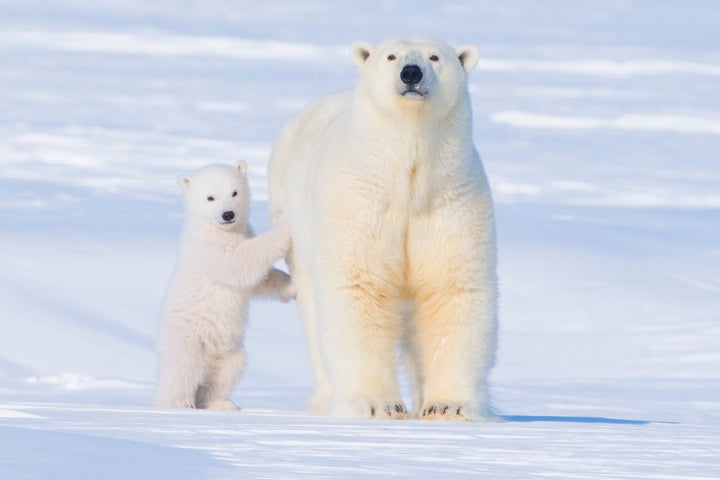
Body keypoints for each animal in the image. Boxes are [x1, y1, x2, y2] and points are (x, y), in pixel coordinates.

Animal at [157, 161, 292, 408]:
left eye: (234, 192)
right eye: (210, 197)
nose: (228, 214)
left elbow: (257, 280)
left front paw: (290, 286)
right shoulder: (207, 245)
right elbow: (238, 261)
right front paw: (284, 230)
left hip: (228, 349)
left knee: (229, 369)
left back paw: (220, 403)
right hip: (187, 337)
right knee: (182, 368)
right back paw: (178, 403)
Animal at [268, 37, 498, 420]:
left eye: (435, 56)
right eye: (391, 56)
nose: (411, 73)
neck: (406, 181)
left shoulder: (451, 203)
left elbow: (451, 290)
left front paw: (447, 405)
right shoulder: (359, 204)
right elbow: (359, 288)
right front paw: (379, 405)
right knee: (314, 313)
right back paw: (326, 399)